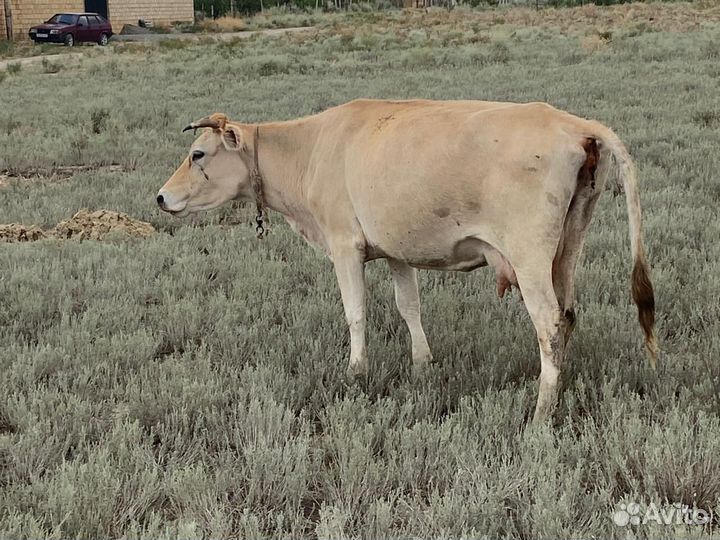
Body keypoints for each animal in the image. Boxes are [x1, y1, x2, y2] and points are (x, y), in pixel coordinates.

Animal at [156, 99, 656, 423]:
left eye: (197, 154)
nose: (161, 197)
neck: (312, 147)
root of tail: (575, 125)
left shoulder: (344, 246)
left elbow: (356, 313)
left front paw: (356, 372)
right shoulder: (397, 250)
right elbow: (408, 307)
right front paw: (421, 364)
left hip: (530, 257)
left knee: (549, 324)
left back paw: (541, 409)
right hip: (568, 246)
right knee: (568, 316)